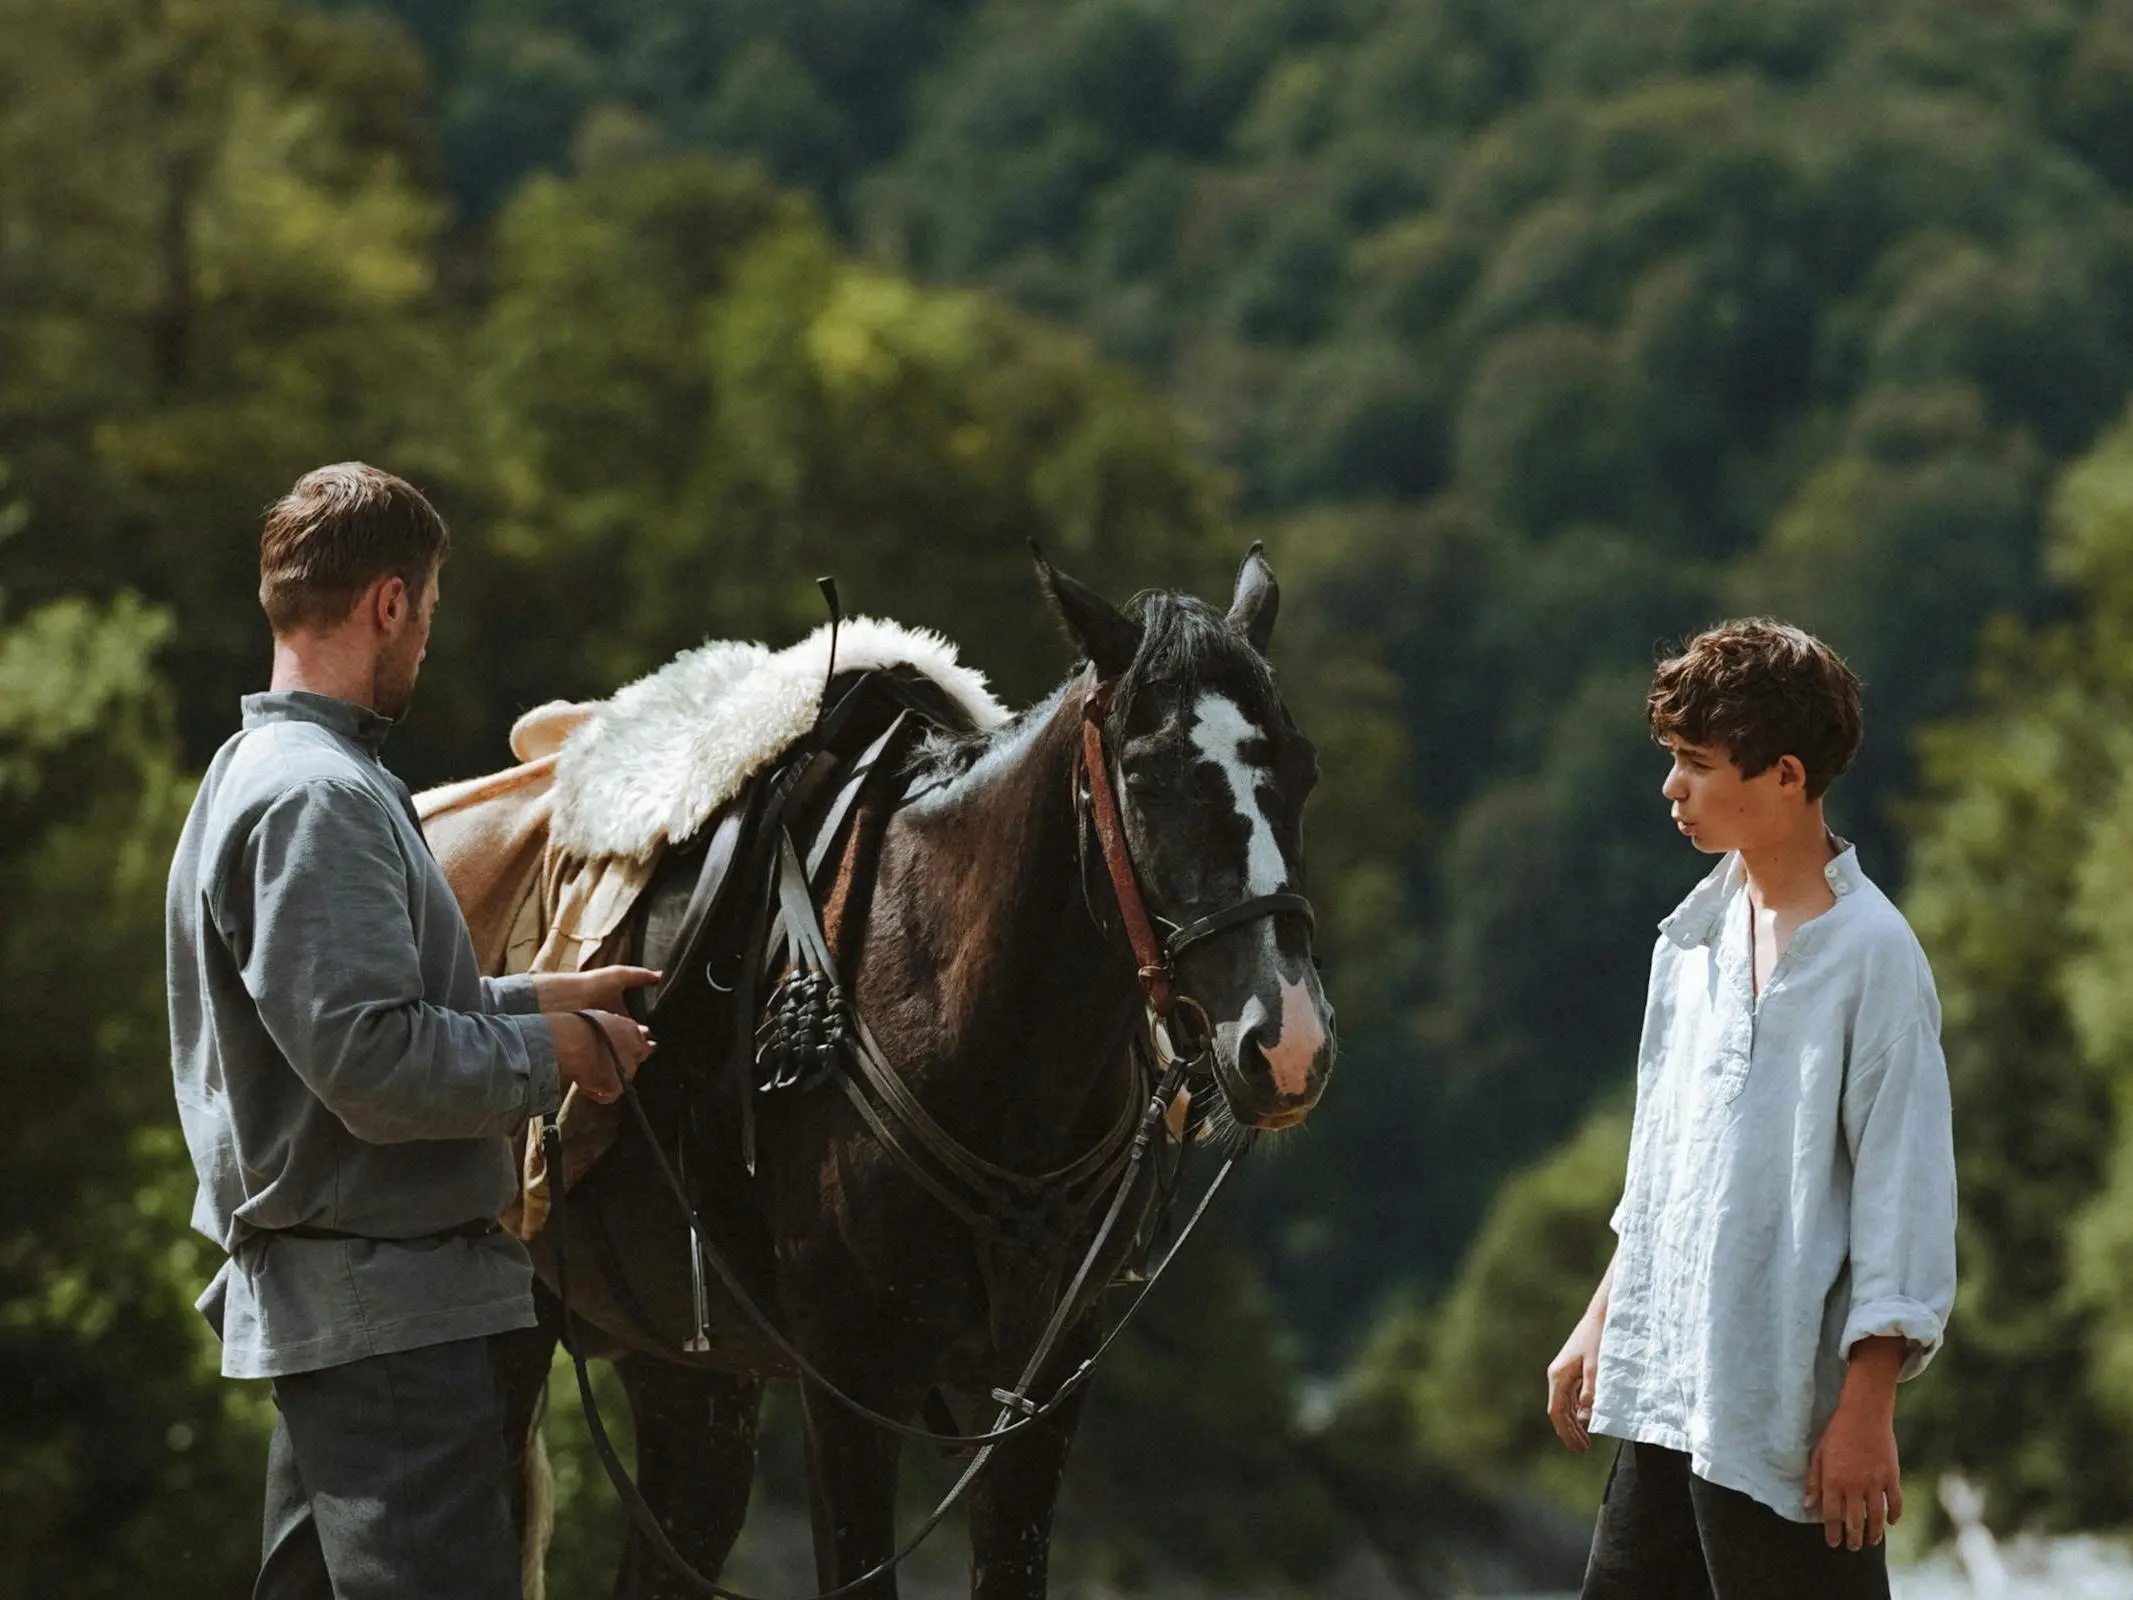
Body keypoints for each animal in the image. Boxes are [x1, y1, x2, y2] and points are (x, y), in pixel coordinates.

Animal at [494, 554, 1330, 1600]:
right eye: (1148, 775)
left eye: (1299, 769)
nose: (1287, 1042)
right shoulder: (851, 1382)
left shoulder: (1041, 1390)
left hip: (688, 1375)